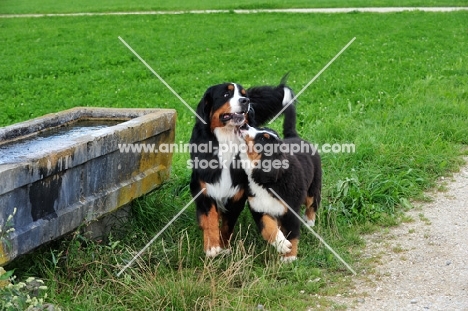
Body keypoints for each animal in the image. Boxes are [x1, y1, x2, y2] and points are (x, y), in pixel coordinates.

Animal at [236, 106, 320, 262]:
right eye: (260, 129)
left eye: (262, 138)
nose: (244, 125)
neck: (264, 182)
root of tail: (294, 136)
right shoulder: (259, 208)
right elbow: (268, 228)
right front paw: (281, 244)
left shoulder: (291, 211)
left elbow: (292, 234)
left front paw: (289, 257)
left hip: (313, 186)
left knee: (313, 204)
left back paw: (309, 222)